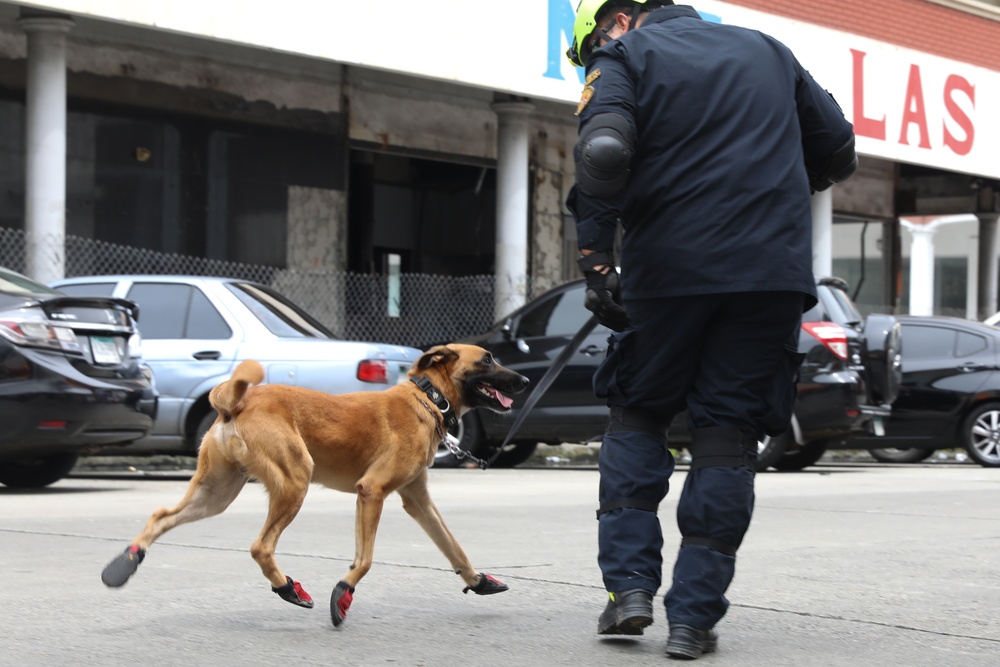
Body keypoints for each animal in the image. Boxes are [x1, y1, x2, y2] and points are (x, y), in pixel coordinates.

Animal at [99, 344, 532, 628]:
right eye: (488, 359)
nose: (527, 379)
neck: (428, 398)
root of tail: (237, 402)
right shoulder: (372, 491)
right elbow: (365, 560)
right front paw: (343, 593)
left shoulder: (417, 500)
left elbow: (452, 545)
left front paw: (478, 581)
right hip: (294, 481)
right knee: (260, 547)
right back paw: (288, 589)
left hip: (216, 494)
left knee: (161, 515)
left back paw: (124, 565)